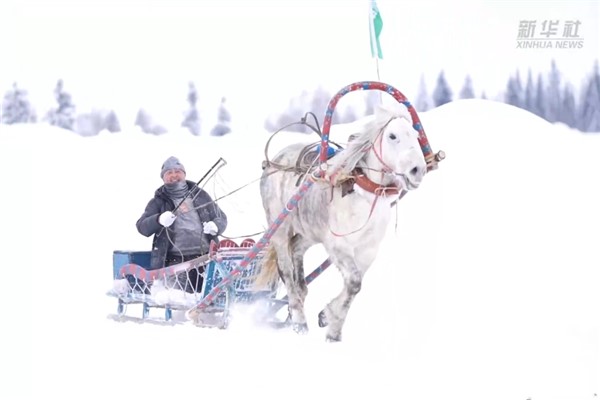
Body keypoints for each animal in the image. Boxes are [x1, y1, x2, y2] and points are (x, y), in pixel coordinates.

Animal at [255, 102, 428, 340]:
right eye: (392, 136)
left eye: (416, 135)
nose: (417, 170)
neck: (362, 195)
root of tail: (274, 161)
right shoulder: (338, 247)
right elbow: (354, 283)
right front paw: (332, 327)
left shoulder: (367, 250)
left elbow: (353, 285)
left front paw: (329, 320)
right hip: (279, 230)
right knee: (287, 272)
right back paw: (299, 320)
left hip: (309, 231)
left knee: (297, 250)